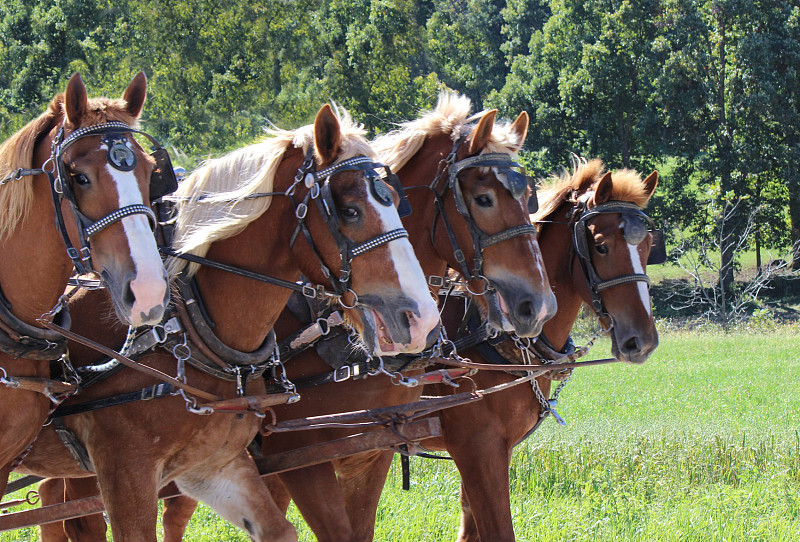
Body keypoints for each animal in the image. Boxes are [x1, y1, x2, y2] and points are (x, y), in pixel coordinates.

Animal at [12, 103, 438, 542]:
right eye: (350, 212)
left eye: (397, 202)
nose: (422, 318)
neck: (188, 325)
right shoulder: (126, 468)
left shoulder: (212, 465)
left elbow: (279, 530)